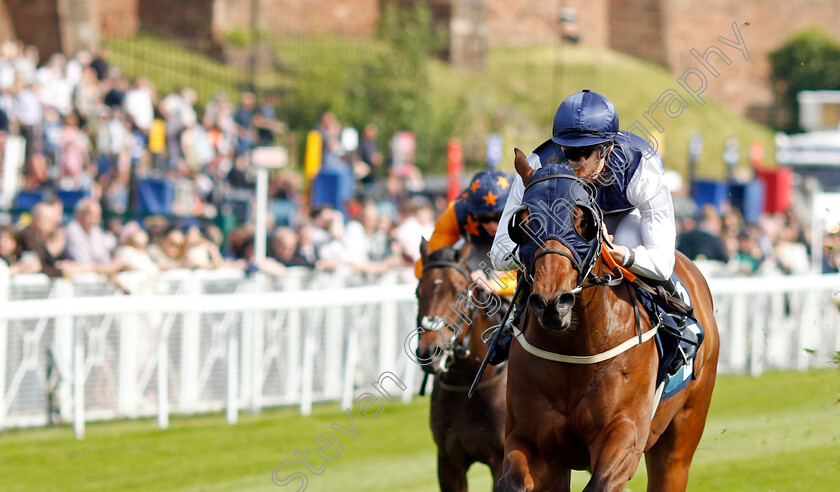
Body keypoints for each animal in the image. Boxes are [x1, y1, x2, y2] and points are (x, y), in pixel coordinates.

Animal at [496, 150, 720, 492]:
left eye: (583, 220)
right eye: (523, 223)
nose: (552, 303)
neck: (576, 349)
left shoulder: (625, 436)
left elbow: (601, 483)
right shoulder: (532, 442)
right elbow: (513, 483)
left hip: (680, 437)